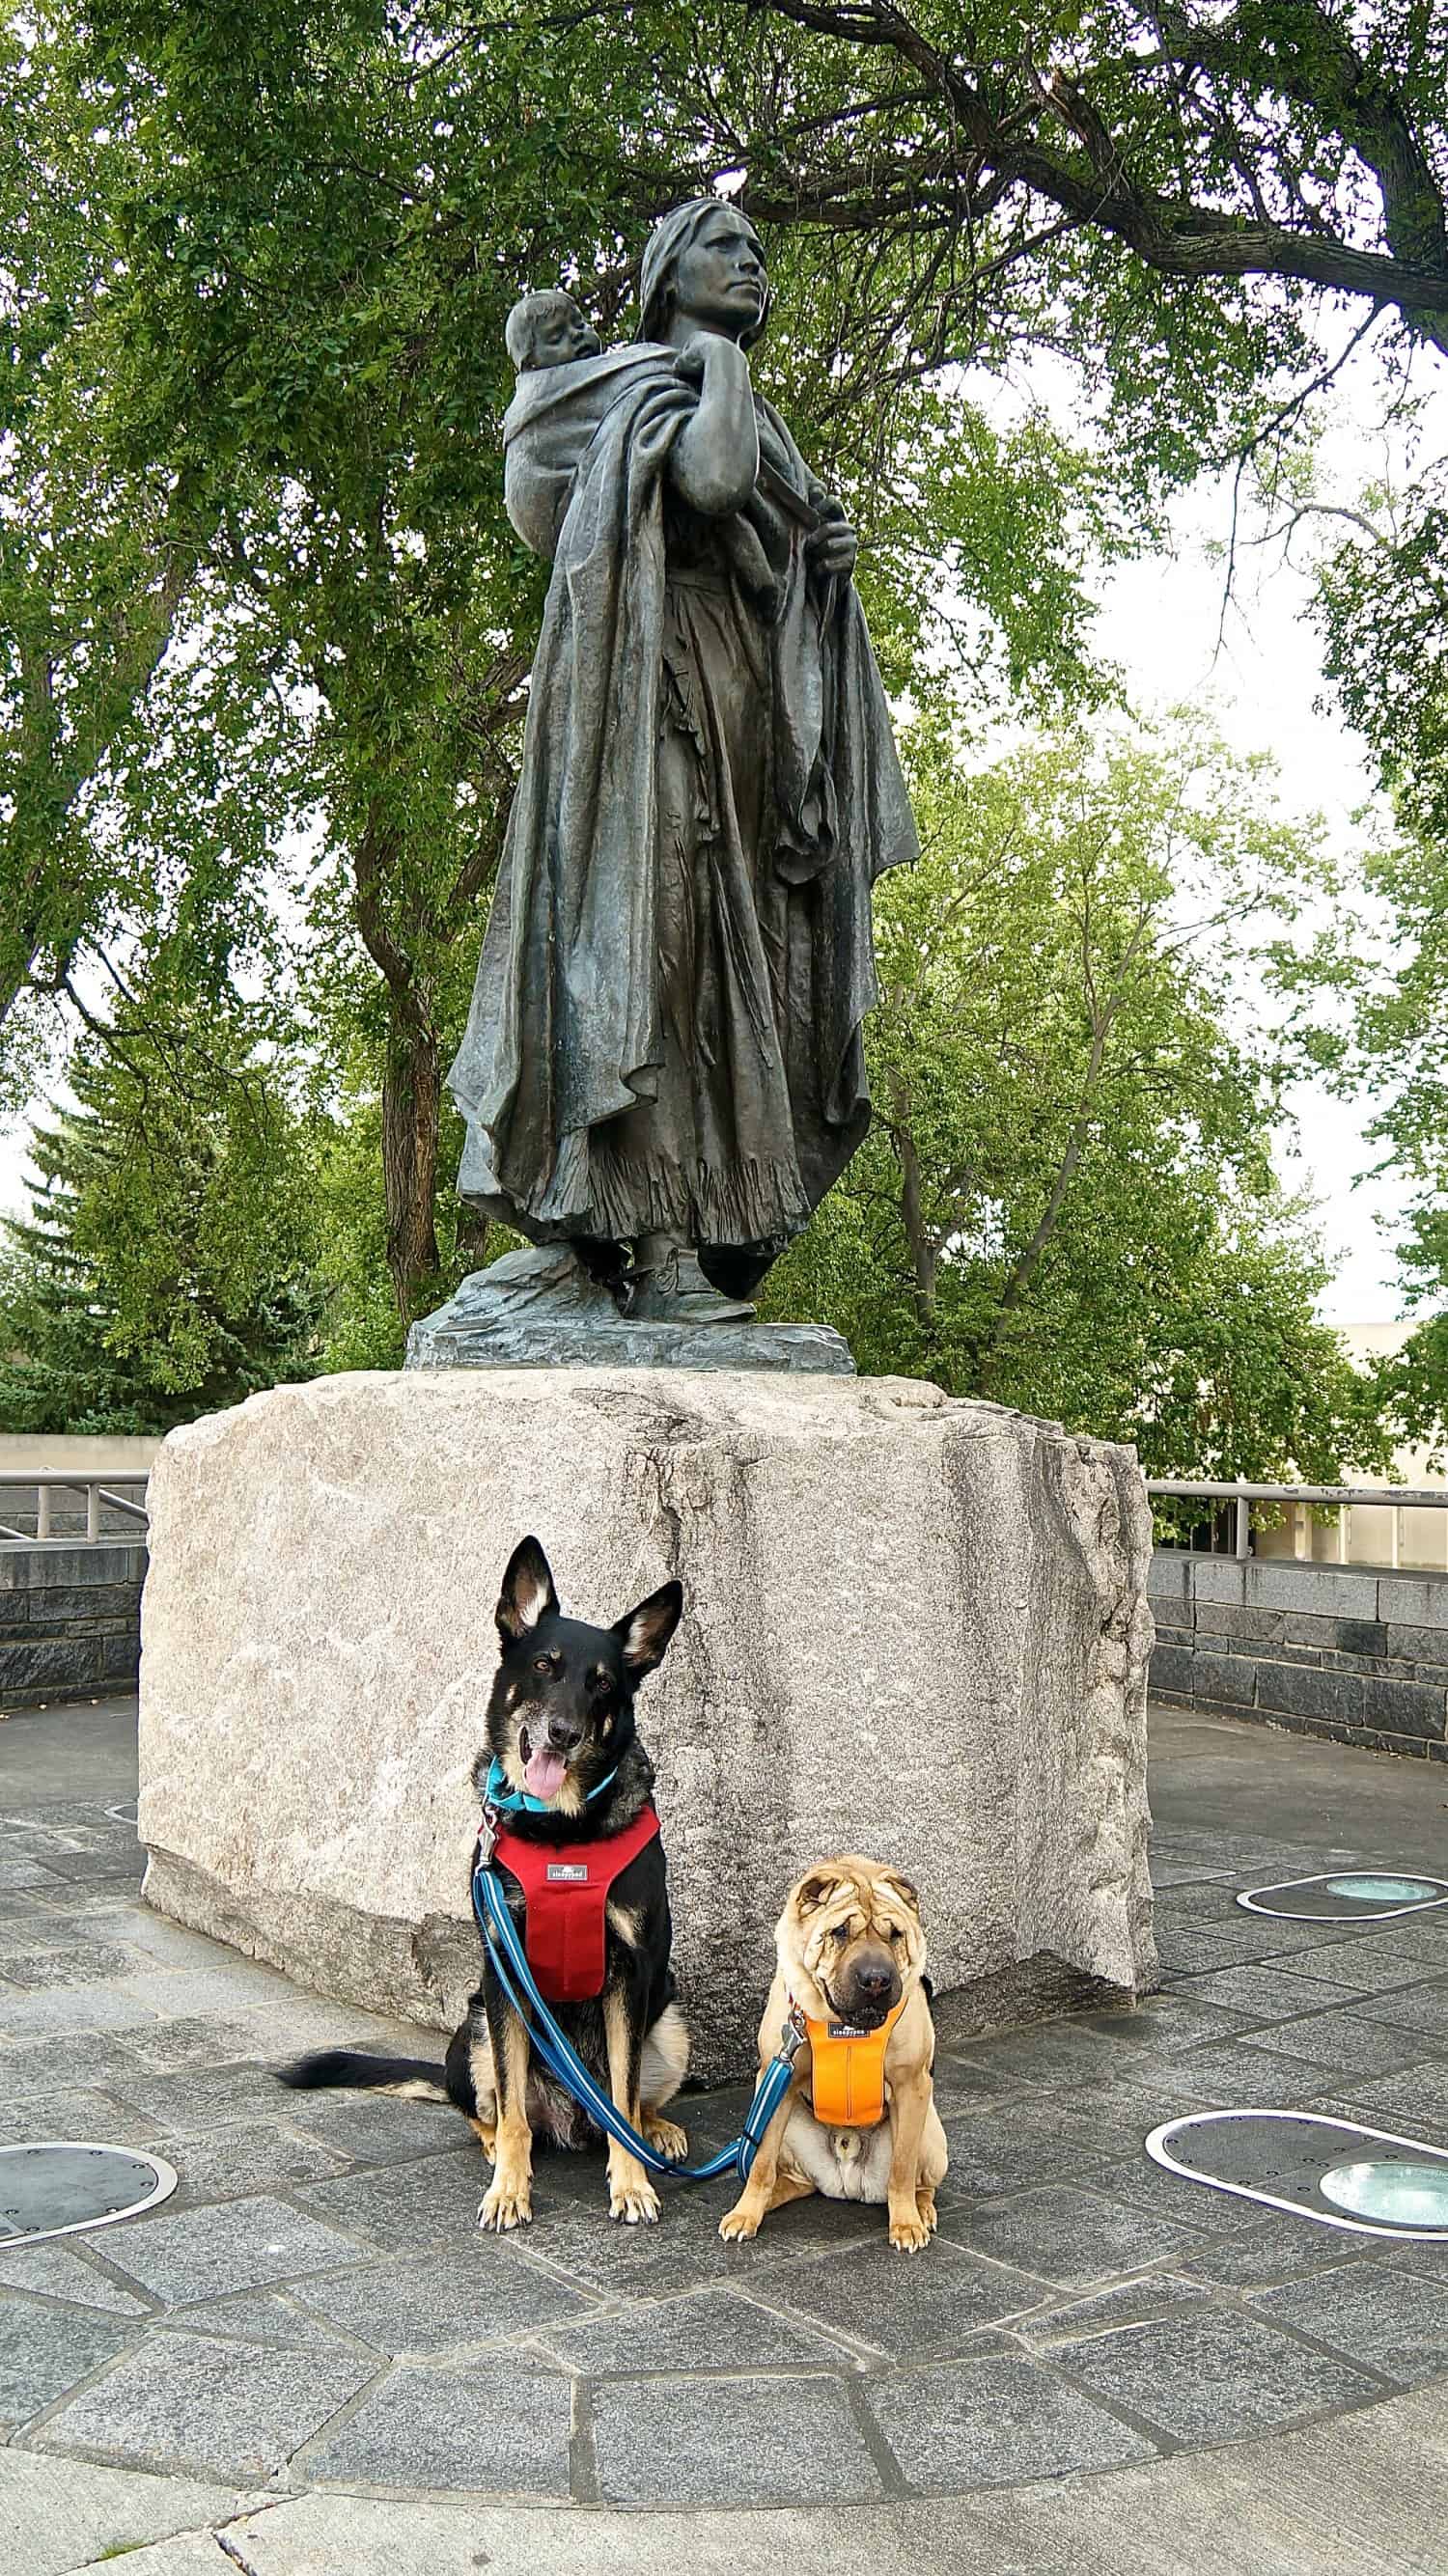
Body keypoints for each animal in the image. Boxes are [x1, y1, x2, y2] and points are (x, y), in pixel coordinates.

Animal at [283, 1535, 695, 2226]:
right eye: (546, 1665)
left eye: (603, 1684)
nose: (563, 1733)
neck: (561, 1832)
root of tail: (568, 2117)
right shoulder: (503, 1975)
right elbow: (510, 2114)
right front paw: (508, 2189)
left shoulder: (630, 1978)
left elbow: (623, 2094)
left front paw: (632, 2183)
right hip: (474, 2031)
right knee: (494, 2110)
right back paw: (498, 2148)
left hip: (668, 2022)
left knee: (633, 2103)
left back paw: (657, 2131)